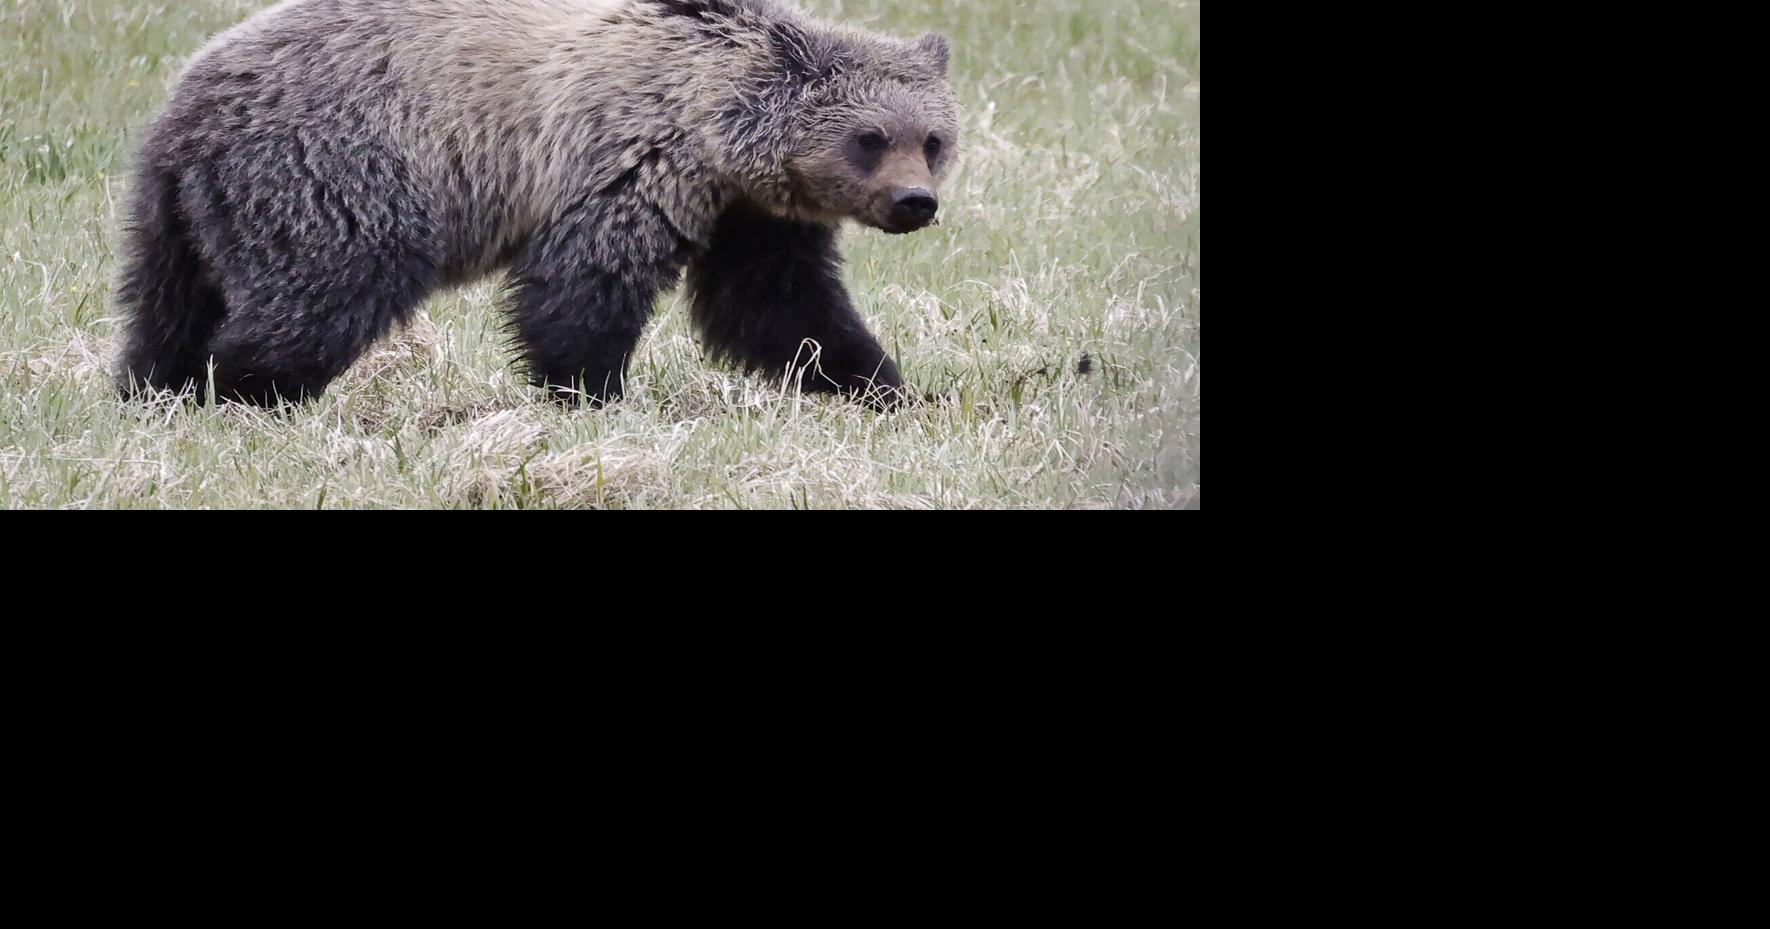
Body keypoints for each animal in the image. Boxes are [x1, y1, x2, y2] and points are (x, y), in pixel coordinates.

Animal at [115, 0, 959, 408]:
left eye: (933, 139)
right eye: (870, 138)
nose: (915, 202)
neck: (720, 125)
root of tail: (186, 106)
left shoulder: (748, 215)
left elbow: (780, 307)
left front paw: (884, 384)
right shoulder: (627, 161)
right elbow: (584, 288)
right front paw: (593, 391)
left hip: (183, 213)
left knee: (167, 306)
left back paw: (156, 387)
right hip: (340, 172)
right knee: (326, 289)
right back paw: (246, 388)